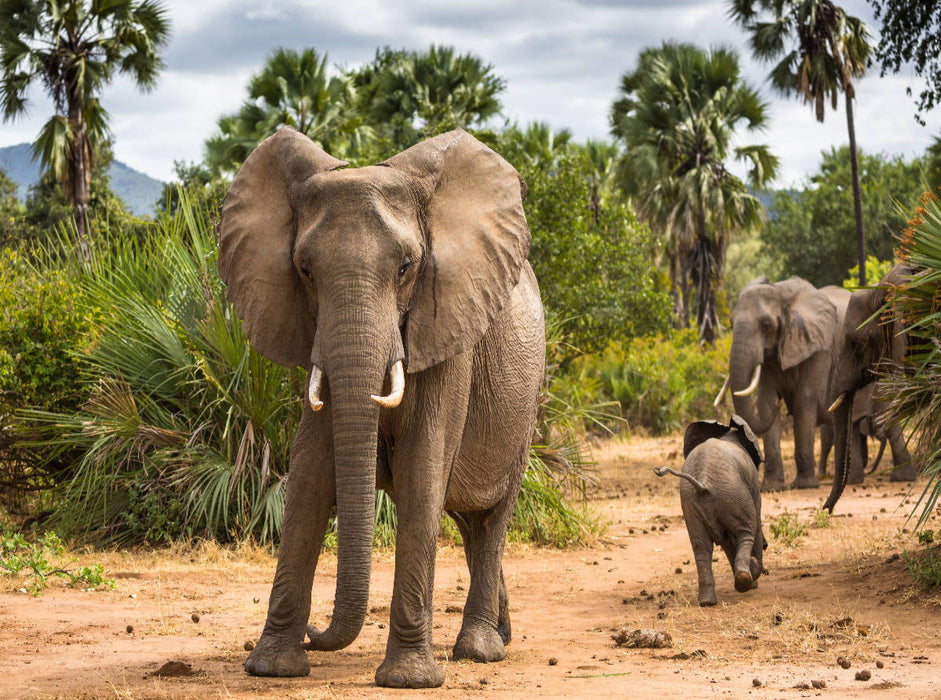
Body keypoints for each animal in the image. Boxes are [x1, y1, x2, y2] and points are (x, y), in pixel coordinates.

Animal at [217, 127, 545, 688]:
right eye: (304, 270)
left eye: (407, 268)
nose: (316, 632)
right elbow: (309, 474)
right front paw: (272, 668)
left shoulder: (446, 329)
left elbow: (421, 471)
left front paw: (408, 680)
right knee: (466, 520)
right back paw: (499, 635)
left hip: (527, 402)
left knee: (492, 516)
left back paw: (480, 651)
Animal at [655, 415, 765, 607]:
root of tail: (703, 481)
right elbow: (755, 524)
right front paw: (753, 583)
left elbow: (727, 542)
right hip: (734, 494)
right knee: (747, 532)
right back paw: (746, 578)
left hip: (692, 503)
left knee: (701, 547)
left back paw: (707, 601)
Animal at [715, 277, 850, 491]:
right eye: (731, 323)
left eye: (765, 326)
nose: (781, 403)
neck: (781, 292)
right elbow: (765, 402)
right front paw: (772, 487)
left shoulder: (819, 348)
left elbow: (805, 400)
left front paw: (805, 486)